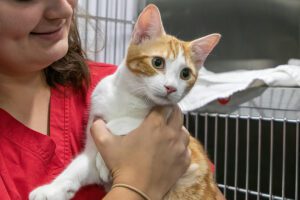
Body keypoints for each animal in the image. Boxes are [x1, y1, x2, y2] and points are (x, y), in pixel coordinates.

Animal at [29, 3, 220, 200]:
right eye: (157, 62)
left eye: (185, 74)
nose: (171, 88)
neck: (130, 97)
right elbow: (77, 168)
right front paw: (52, 189)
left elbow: (118, 124)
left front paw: (103, 160)